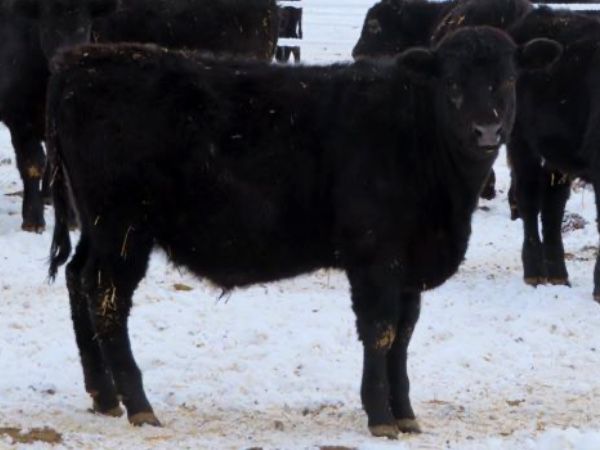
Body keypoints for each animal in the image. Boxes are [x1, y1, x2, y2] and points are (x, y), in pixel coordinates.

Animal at [1, 0, 278, 233]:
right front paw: (38, 217)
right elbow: (36, 165)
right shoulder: (21, 115)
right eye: (46, 22)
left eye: (84, 24)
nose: (66, 54)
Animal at [46, 30, 560, 438]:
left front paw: (407, 414)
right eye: (452, 84)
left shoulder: (409, 266)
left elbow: (404, 335)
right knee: (106, 298)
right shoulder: (375, 258)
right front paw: (380, 417)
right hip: (123, 230)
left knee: (76, 279)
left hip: (97, 228)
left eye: (508, 79)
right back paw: (138, 405)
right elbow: (381, 332)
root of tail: (79, 59)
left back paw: (104, 396)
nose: (487, 130)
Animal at [507, 7, 600, 299]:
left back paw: (558, 274)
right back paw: (534, 272)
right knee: (529, 200)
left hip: (557, 155)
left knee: (552, 206)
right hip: (521, 142)